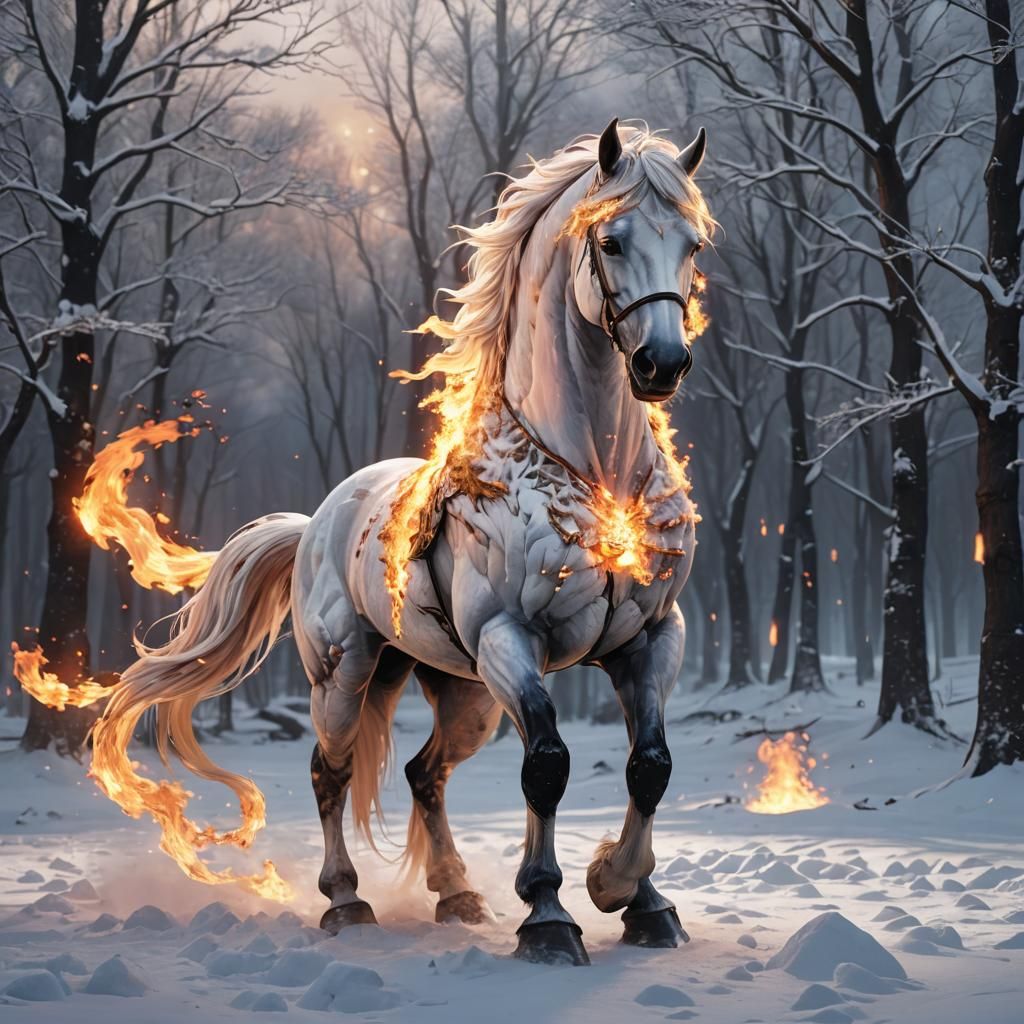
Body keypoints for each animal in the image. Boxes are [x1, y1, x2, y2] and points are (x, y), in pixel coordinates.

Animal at [95, 119, 714, 966]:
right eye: (611, 240)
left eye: (691, 242)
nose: (662, 364)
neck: (594, 475)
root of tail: (315, 522)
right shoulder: (511, 639)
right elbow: (548, 765)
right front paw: (551, 915)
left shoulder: (651, 639)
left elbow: (650, 766)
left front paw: (635, 897)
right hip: (347, 675)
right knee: (329, 771)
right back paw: (345, 901)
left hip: (461, 691)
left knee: (426, 773)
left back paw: (456, 892)